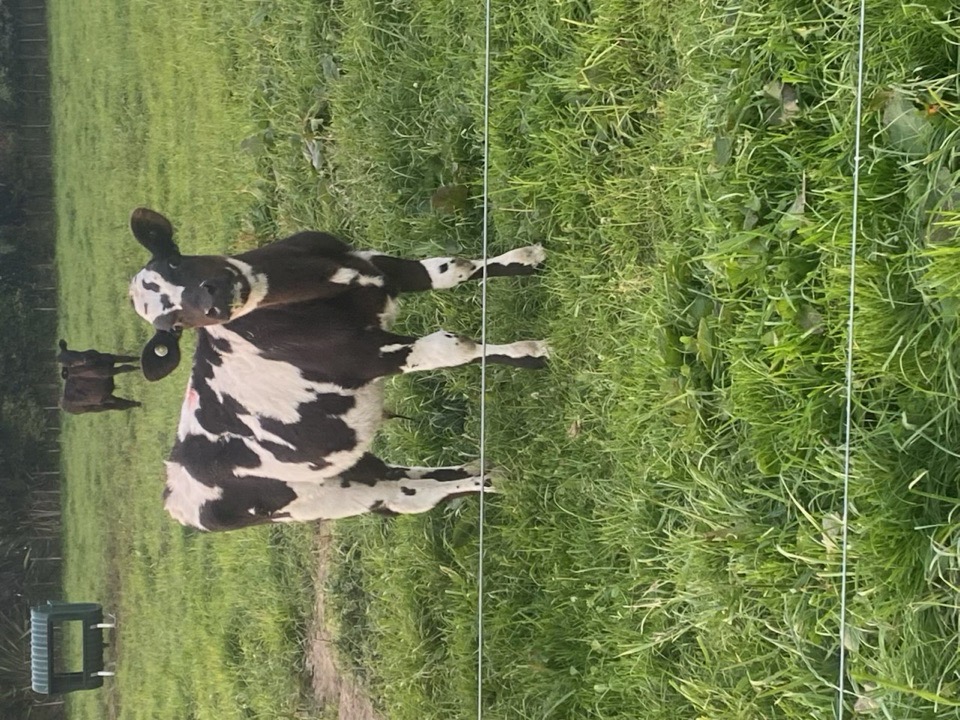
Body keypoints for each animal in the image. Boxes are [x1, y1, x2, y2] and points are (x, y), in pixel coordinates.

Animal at [128, 207, 548, 532]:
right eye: (174, 326)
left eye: (175, 261)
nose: (213, 301)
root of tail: (174, 491)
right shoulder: (366, 356)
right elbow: (453, 345)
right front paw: (533, 354)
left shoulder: (376, 266)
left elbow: (452, 269)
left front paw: (527, 259)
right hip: (320, 497)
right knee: (407, 495)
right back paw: (494, 479)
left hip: (343, 468)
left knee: (401, 477)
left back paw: (485, 469)